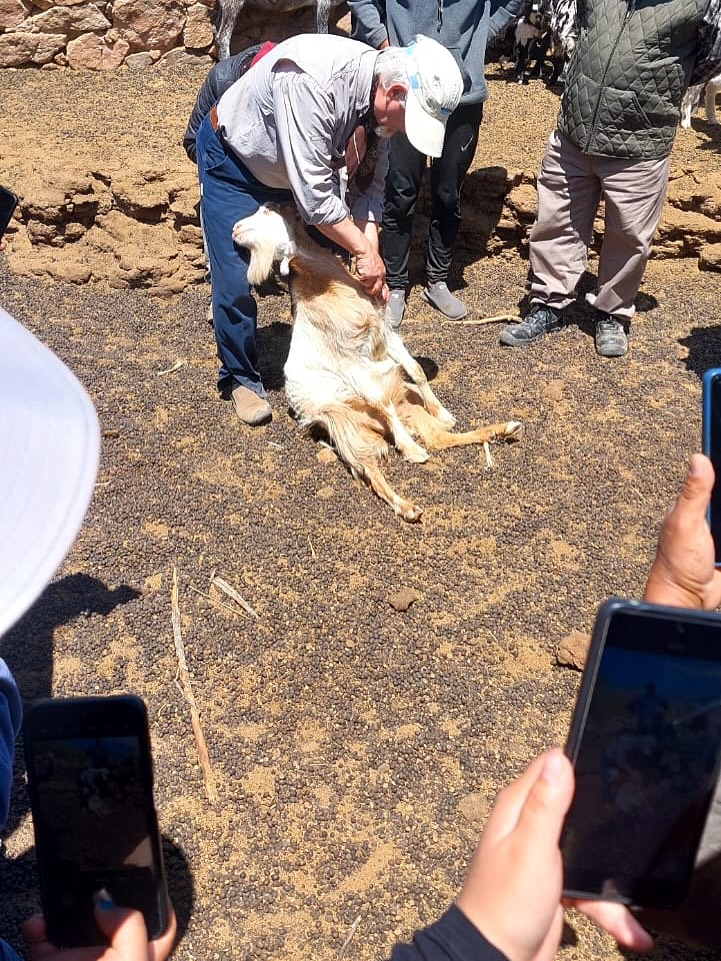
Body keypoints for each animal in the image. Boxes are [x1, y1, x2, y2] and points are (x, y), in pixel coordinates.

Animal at [231, 204, 522, 522]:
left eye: (266, 211)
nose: (234, 229)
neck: (324, 283)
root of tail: (307, 414)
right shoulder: (347, 360)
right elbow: (380, 400)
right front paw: (411, 450)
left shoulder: (384, 331)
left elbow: (417, 370)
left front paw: (443, 412)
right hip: (345, 423)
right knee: (368, 468)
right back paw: (408, 505)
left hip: (406, 400)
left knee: (437, 437)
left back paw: (504, 428)